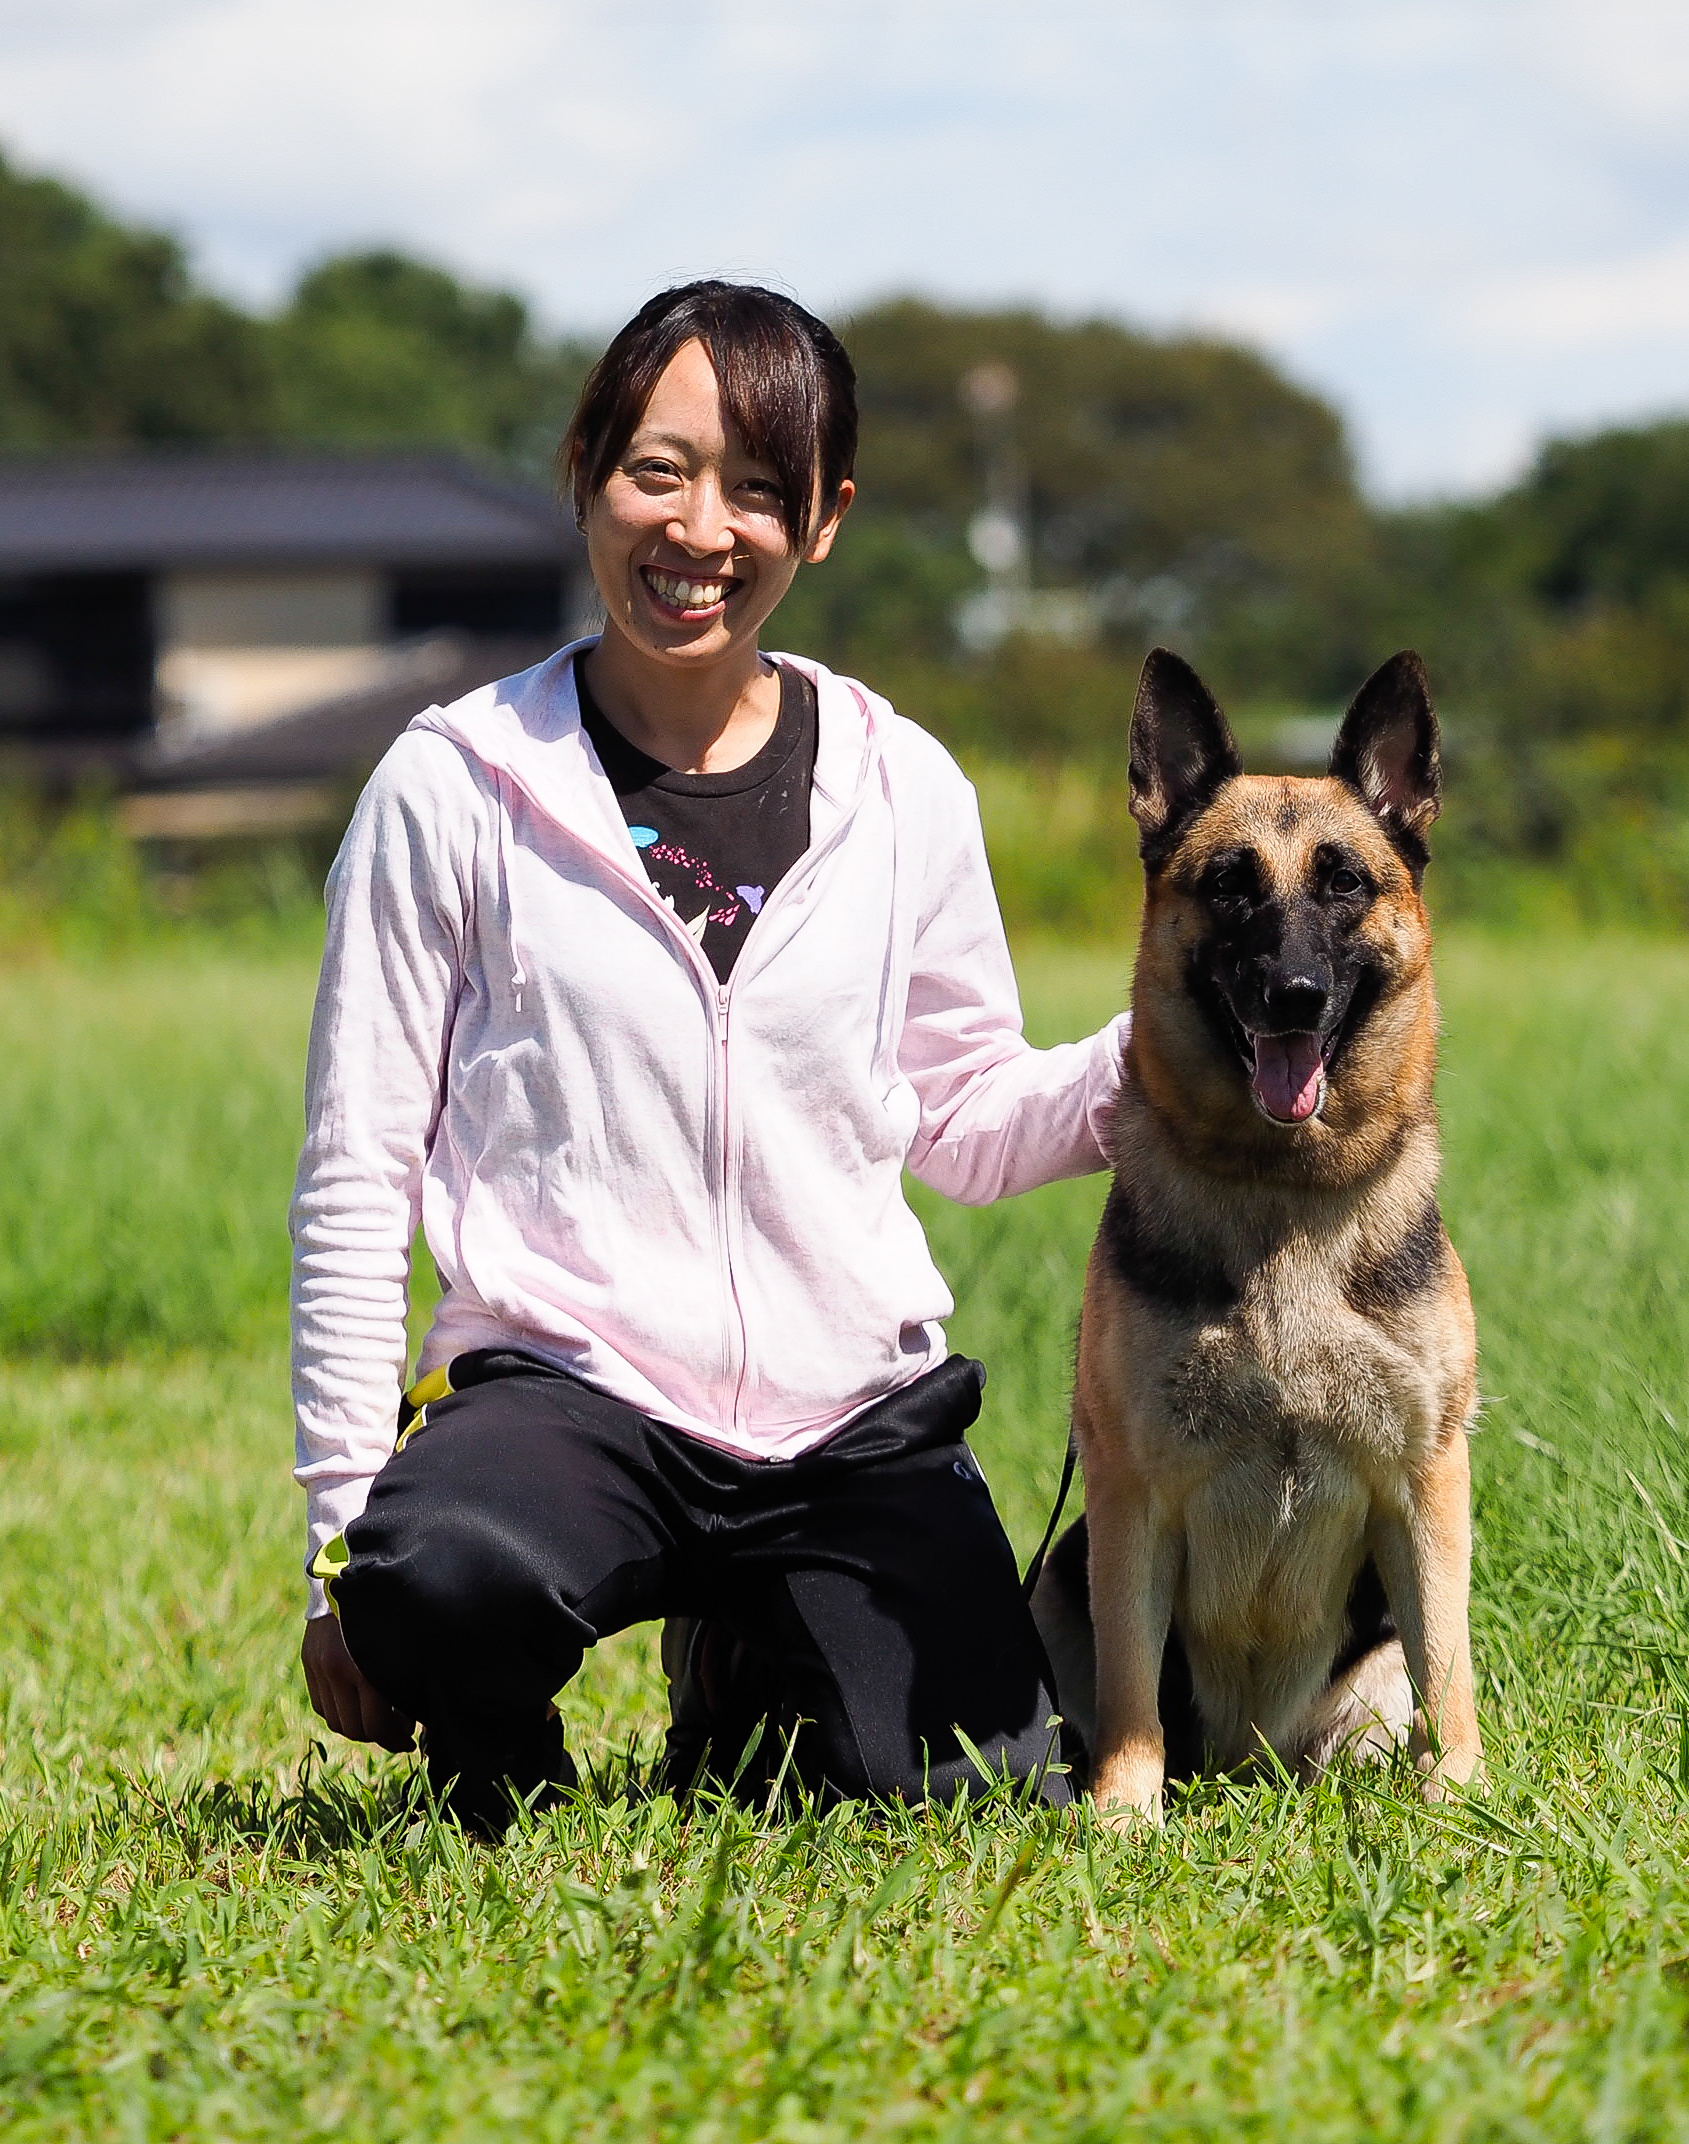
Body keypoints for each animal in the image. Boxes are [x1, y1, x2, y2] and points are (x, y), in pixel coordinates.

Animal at [1037, 643, 1483, 1818]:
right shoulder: (1130, 1493)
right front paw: (1125, 1810)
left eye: (1344, 882)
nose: (1293, 993)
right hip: (1058, 1572)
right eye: (1230, 884)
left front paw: (1461, 1796)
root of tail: (1251, 1762)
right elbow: (1132, 1686)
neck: (1281, 1192)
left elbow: (1449, 1660)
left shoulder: (1426, 1479)